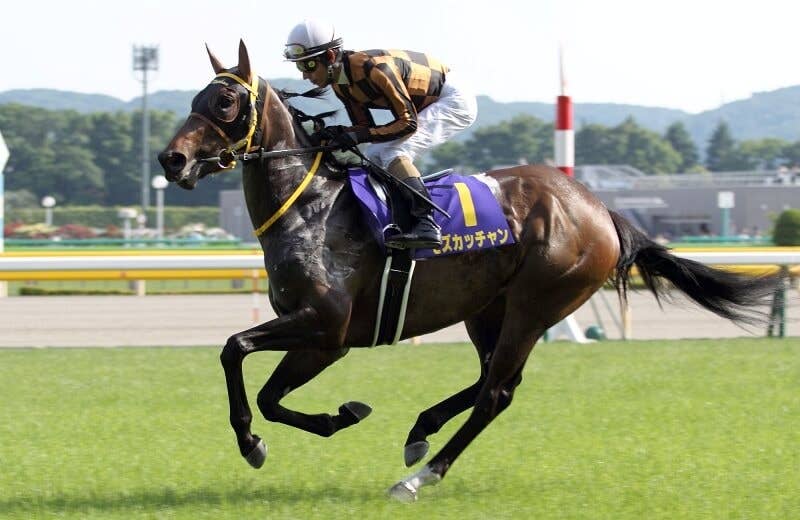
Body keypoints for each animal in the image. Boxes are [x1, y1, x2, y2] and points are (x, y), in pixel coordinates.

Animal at [158, 41, 782, 502]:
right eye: (196, 97)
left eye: (226, 103)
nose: (172, 159)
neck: (308, 208)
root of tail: (599, 209)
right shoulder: (317, 333)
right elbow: (258, 382)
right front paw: (332, 419)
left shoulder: (328, 328)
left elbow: (237, 353)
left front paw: (258, 440)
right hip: (488, 308)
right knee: (491, 380)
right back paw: (419, 434)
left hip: (536, 303)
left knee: (496, 394)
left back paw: (419, 476)